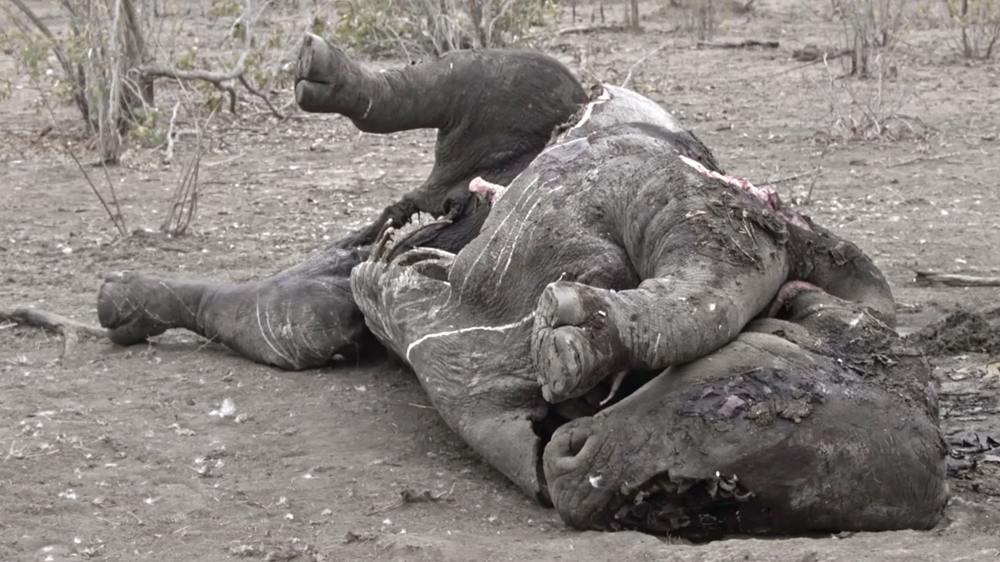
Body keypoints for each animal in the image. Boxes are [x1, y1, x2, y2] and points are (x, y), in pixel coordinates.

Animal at [96, 38, 948, 539]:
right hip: (530, 94)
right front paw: (591, 324)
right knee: (466, 80)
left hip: (362, 265)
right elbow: (686, 283)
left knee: (300, 306)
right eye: (739, 400)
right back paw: (331, 75)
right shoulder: (678, 215)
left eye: (714, 498)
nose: (585, 467)